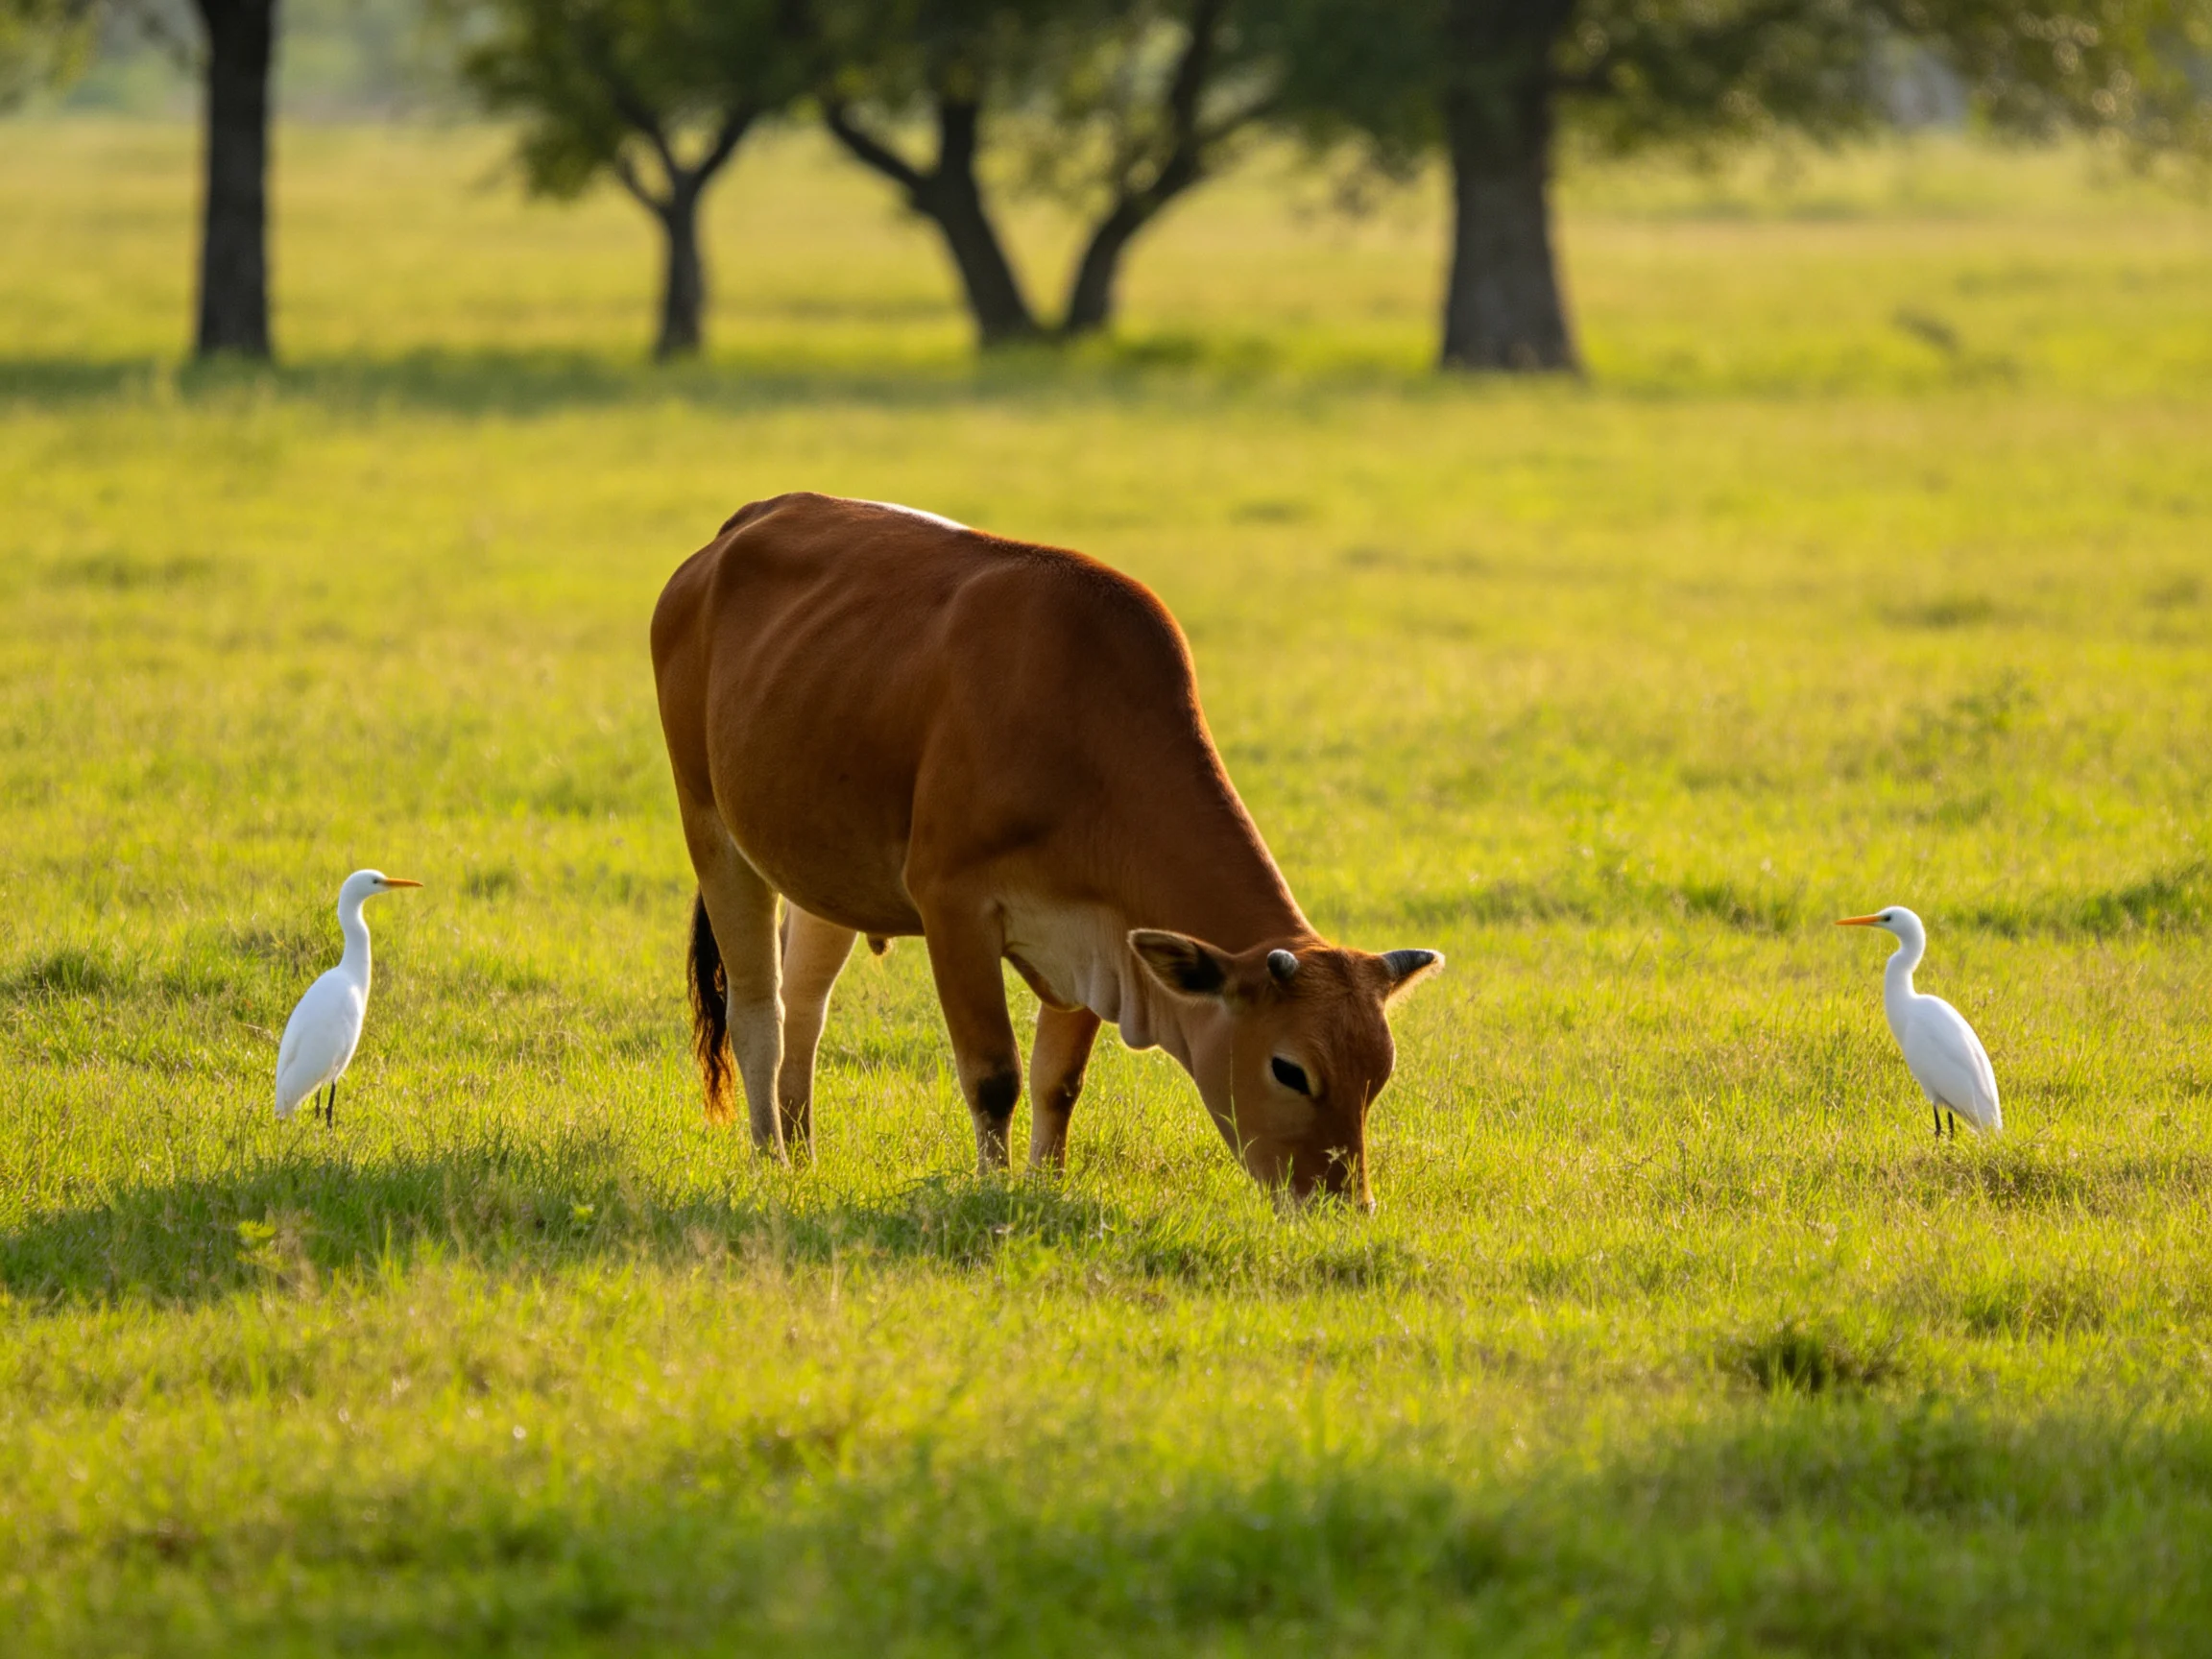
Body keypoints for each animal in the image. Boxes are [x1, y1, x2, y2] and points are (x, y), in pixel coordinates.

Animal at [649, 492, 1441, 1207]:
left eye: (1378, 1076)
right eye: (1290, 1070)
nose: (1342, 1202)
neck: (1086, 735)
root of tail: (739, 527)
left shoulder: (1099, 936)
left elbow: (1058, 1081)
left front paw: (1044, 1185)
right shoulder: (953, 906)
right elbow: (993, 1075)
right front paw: (994, 1188)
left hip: (823, 869)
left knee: (806, 1004)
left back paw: (803, 1151)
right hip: (710, 827)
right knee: (759, 1009)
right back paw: (771, 1160)